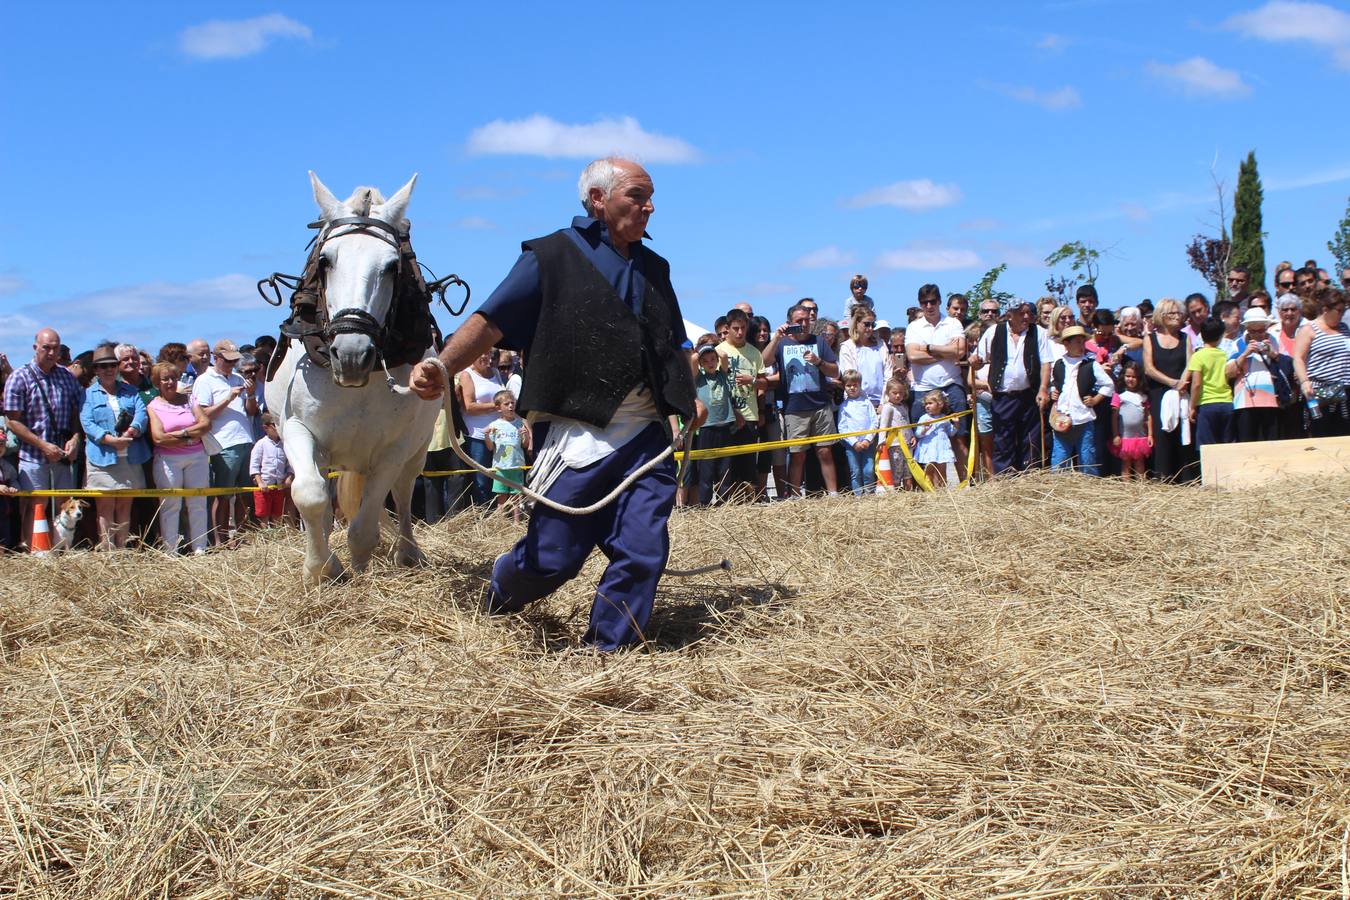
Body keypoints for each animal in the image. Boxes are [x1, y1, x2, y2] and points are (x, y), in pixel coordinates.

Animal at [268, 174, 442, 585]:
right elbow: (310, 494)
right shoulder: (298, 429)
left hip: (418, 447)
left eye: (392, 266)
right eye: (325, 261)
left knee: (404, 492)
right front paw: (320, 568)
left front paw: (360, 566)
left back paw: (407, 552)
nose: (351, 355)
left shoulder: (395, 448)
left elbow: (366, 522)